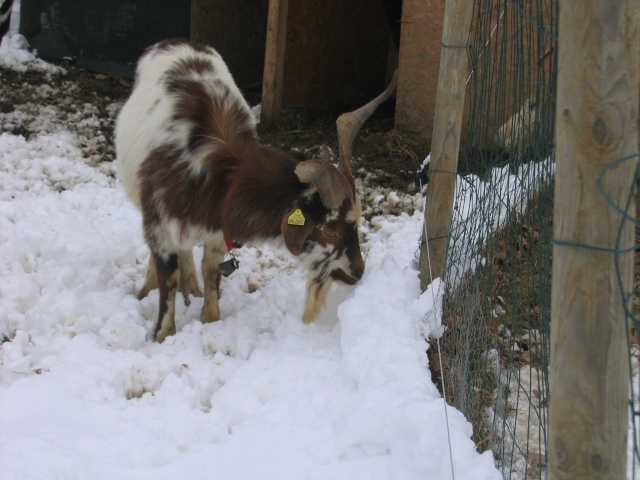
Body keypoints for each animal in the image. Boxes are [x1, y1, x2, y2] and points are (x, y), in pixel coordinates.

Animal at [115, 40, 396, 342]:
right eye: (330, 231)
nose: (359, 270)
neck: (219, 178)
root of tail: (175, 42)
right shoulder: (161, 226)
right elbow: (168, 279)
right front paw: (163, 334)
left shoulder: (217, 235)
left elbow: (211, 274)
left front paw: (209, 319)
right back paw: (150, 288)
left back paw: (191, 289)